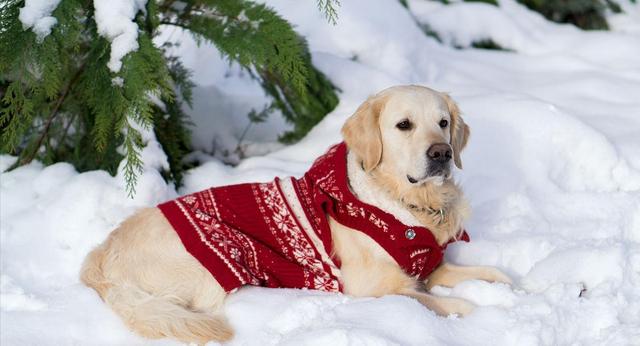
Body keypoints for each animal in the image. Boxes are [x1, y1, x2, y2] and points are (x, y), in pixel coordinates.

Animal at [80, 86, 512, 344]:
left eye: (443, 123)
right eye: (404, 125)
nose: (442, 153)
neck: (407, 204)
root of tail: (100, 257)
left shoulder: (428, 266)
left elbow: (475, 273)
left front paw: (505, 285)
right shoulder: (374, 287)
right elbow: (436, 302)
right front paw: (478, 312)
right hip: (217, 262)